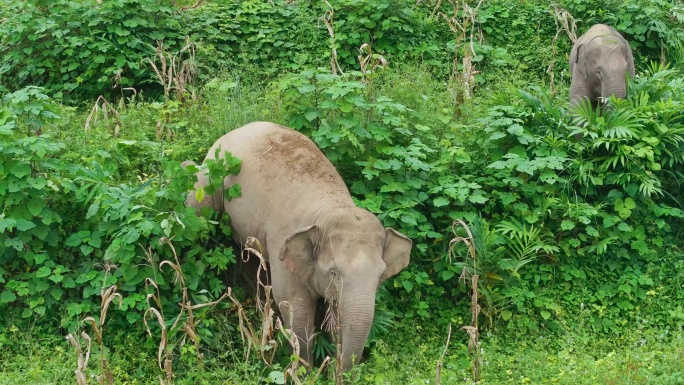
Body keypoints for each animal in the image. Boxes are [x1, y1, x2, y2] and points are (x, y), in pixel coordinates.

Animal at [182, 121, 412, 370]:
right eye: (333, 272)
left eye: (381, 275)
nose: (335, 371)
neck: (331, 205)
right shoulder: (283, 245)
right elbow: (295, 307)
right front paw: (304, 370)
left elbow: (337, 314)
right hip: (210, 179)